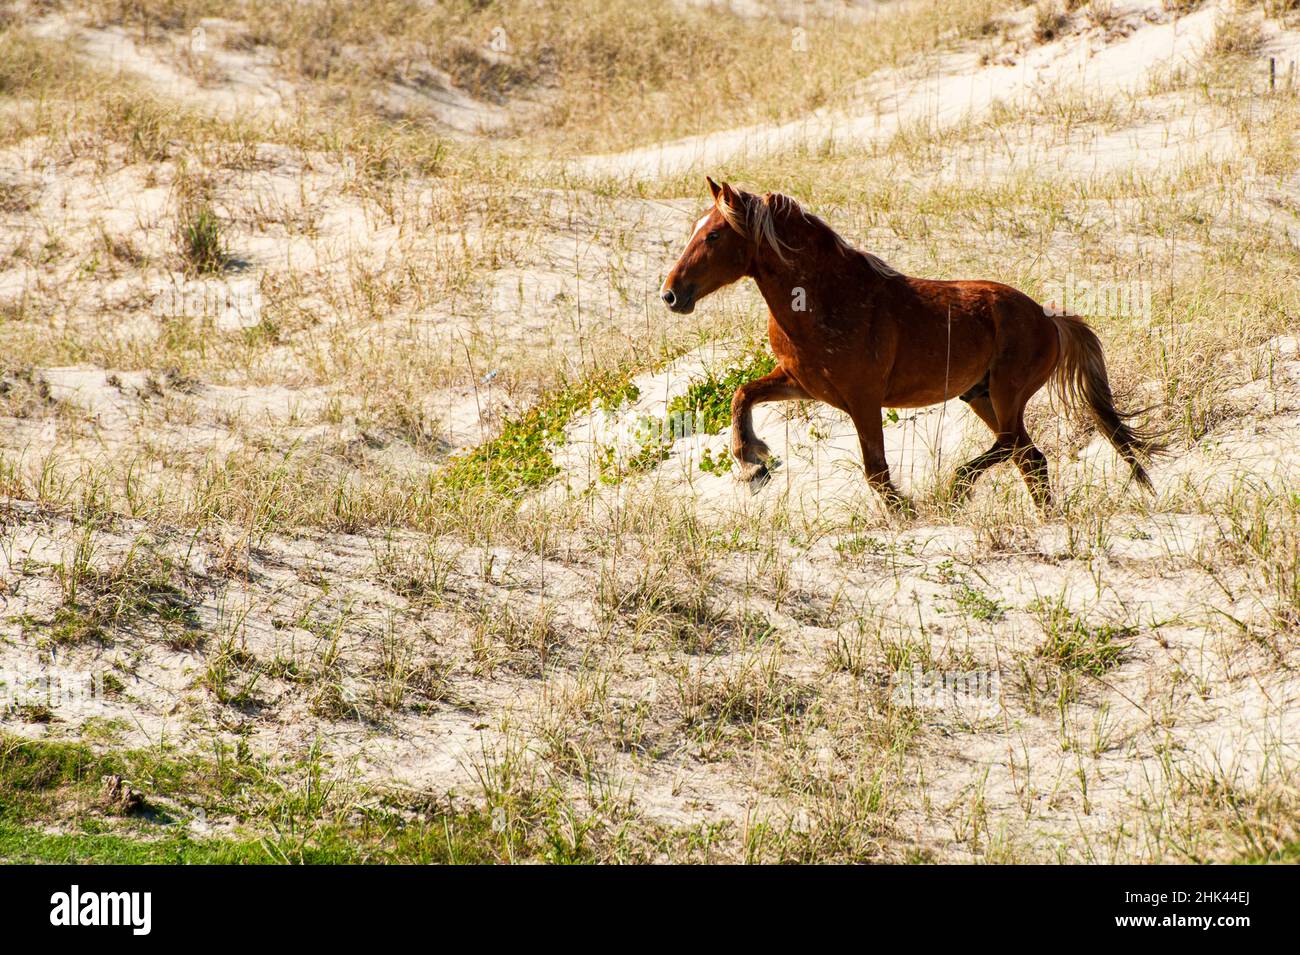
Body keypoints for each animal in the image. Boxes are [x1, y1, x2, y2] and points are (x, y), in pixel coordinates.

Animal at [660, 177, 1160, 511]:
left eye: (714, 234)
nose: (671, 294)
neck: (826, 299)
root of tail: (1048, 317)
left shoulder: (863, 400)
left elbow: (876, 471)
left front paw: (905, 512)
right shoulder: (801, 383)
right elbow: (742, 394)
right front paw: (752, 463)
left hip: (1005, 393)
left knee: (1012, 445)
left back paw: (959, 487)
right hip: (980, 394)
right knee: (1029, 457)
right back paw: (1042, 516)